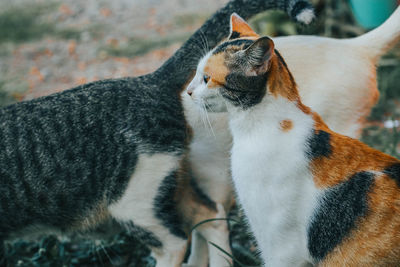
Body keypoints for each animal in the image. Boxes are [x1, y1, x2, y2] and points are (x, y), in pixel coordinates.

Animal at [0, 0, 314, 267]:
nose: (193, 90)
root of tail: (148, 82)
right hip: (165, 184)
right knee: (209, 214)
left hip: (135, 200)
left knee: (176, 240)